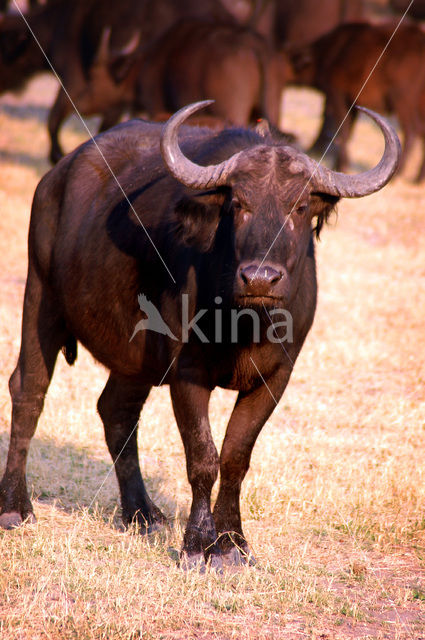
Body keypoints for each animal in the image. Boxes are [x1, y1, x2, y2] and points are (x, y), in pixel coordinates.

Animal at [0, 101, 398, 568]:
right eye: (238, 204)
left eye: (299, 207)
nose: (259, 277)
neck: (245, 324)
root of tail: (55, 177)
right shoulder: (187, 373)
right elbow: (203, 457)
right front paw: (197, 544)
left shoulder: (276, 377)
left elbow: (236, 456)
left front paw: (232, 543)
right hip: (39, 295)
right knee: (29, 391)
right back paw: (15, 507)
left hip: (136, 359)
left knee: (115, 410)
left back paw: (142, 512)